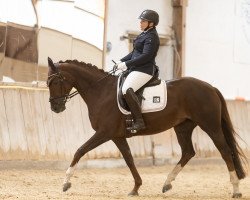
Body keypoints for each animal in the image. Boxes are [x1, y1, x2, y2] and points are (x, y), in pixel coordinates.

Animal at [46, 57, 246, 198]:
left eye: (55, 82)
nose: (55, 108)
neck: (100, 91)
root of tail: (210, 87)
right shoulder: (117, 136)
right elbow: (129, 159)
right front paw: (136, 187)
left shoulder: (104, 132)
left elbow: (80, 150)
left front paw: (65, 183)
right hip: (183, 127)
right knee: (188, 152)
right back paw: (167, 183)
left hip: (210, 126)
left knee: (225, 151)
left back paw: (236, 190)